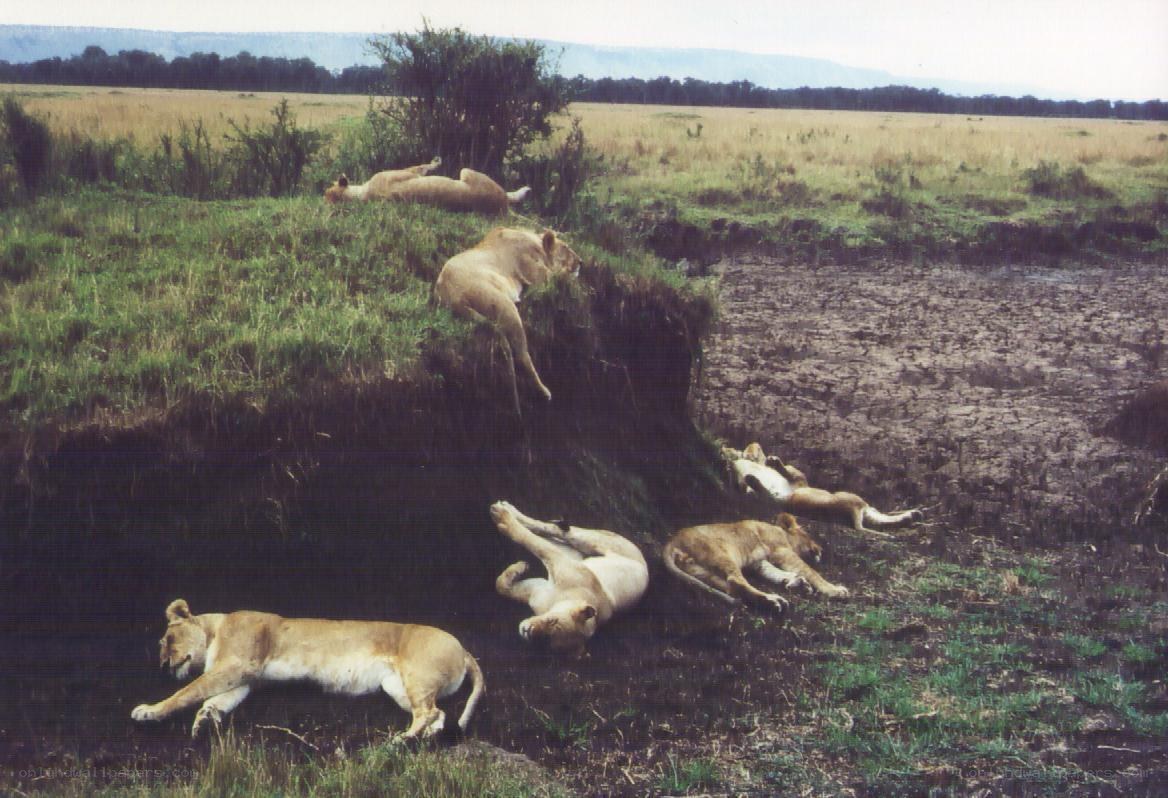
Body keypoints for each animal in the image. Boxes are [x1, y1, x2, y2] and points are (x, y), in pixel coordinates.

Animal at [131, 599, 484, 741]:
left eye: (167, 640)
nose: (163, 665)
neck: (215, 627)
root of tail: (465, 649)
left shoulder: (238, 664)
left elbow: (186, 691)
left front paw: (149, 711)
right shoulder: (245, 678)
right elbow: (216, 700)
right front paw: (205, 720)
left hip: (416, 677)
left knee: (428, 711)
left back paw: (404, 740)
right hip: (396, 687)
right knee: (438, 713)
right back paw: (426, 738)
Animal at [324, 157, 530, 214]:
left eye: (326, 193)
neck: (362, 194)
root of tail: (501, 204)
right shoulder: (409, 172)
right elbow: (422, 166)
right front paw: (436, 162)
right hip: (466, 171)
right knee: (510, 194)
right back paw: (523, 189)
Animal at [435, 227, 581, 408]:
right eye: (566, 247)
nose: (581, 261)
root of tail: (451, 297)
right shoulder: (538, 275)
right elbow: (559, 276)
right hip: (505, 306)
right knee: (522, 354)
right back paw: (544, 391)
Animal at [491, 500, 649, 658]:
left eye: (547, 641)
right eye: (552, 621)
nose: (527, 632)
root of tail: (644, 561)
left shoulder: (537, 591)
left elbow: (501, 587)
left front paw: (519, 568)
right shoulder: (559, 562)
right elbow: (532, 541)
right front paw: (505, 522)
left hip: (573, 552)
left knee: (554, 536)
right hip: (593, 541)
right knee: (557, 531)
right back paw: (504, 510)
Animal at [663, 513, 849, 612]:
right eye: (808, 534)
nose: (821, 549)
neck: (779, 530)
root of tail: (672, 541)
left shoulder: (759, 562)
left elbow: (774, 573)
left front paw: (796, 582)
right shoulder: (782, 551)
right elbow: (811, 572)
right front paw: (834, 590)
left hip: (701, 570)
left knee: (731, 587)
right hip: (722, 554)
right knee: (736, 581)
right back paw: (772, 600)